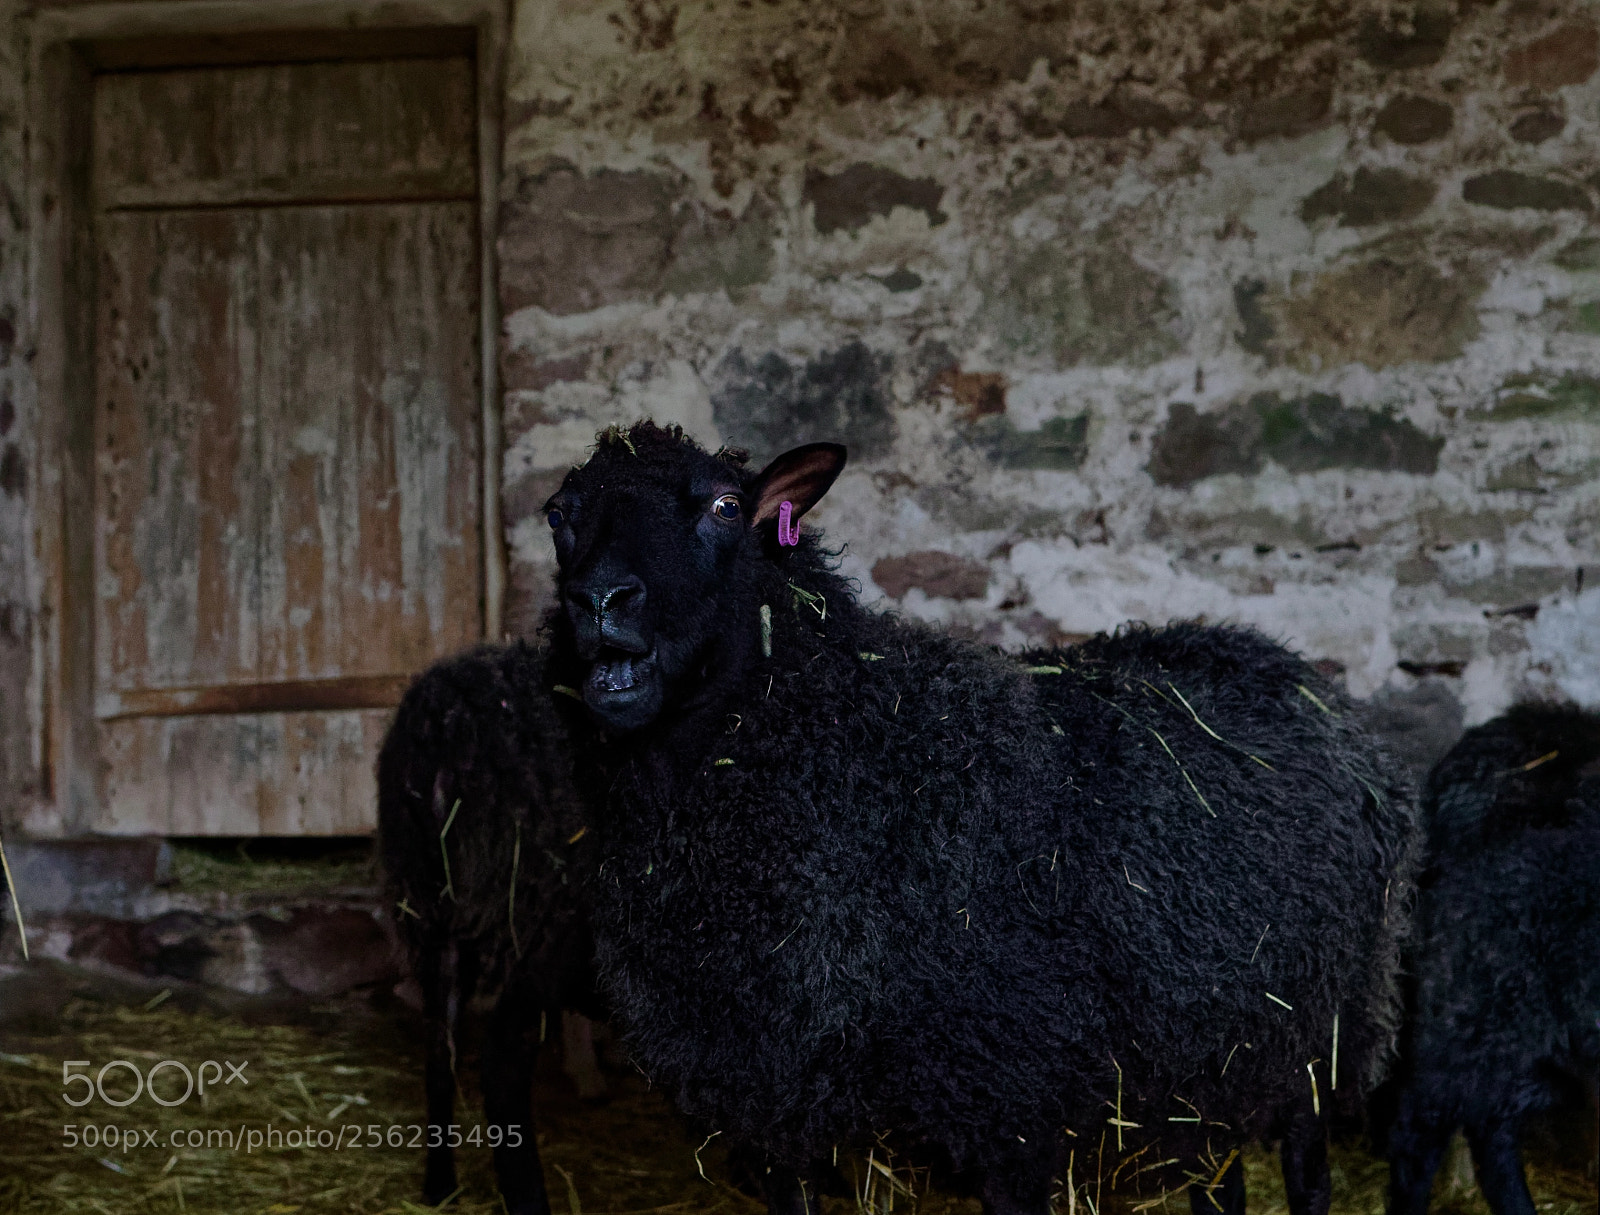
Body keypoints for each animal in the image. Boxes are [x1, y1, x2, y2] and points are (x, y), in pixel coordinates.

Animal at [377, 639, 603, 1215]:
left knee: (440, 1051)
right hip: (542, 912)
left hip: (431, 907)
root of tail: (443, 720)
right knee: (502, 1065)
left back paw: (440, 1186)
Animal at [538, 420, 1420, 1215]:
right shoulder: (767, 1104)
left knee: (1307, 1169)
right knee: (1217, 1176)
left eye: (725, 506)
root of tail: (1284, 661)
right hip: (1207, 1052)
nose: (601, 599)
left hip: (1318, 1037)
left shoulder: (1007, 1103)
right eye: (558, 514)